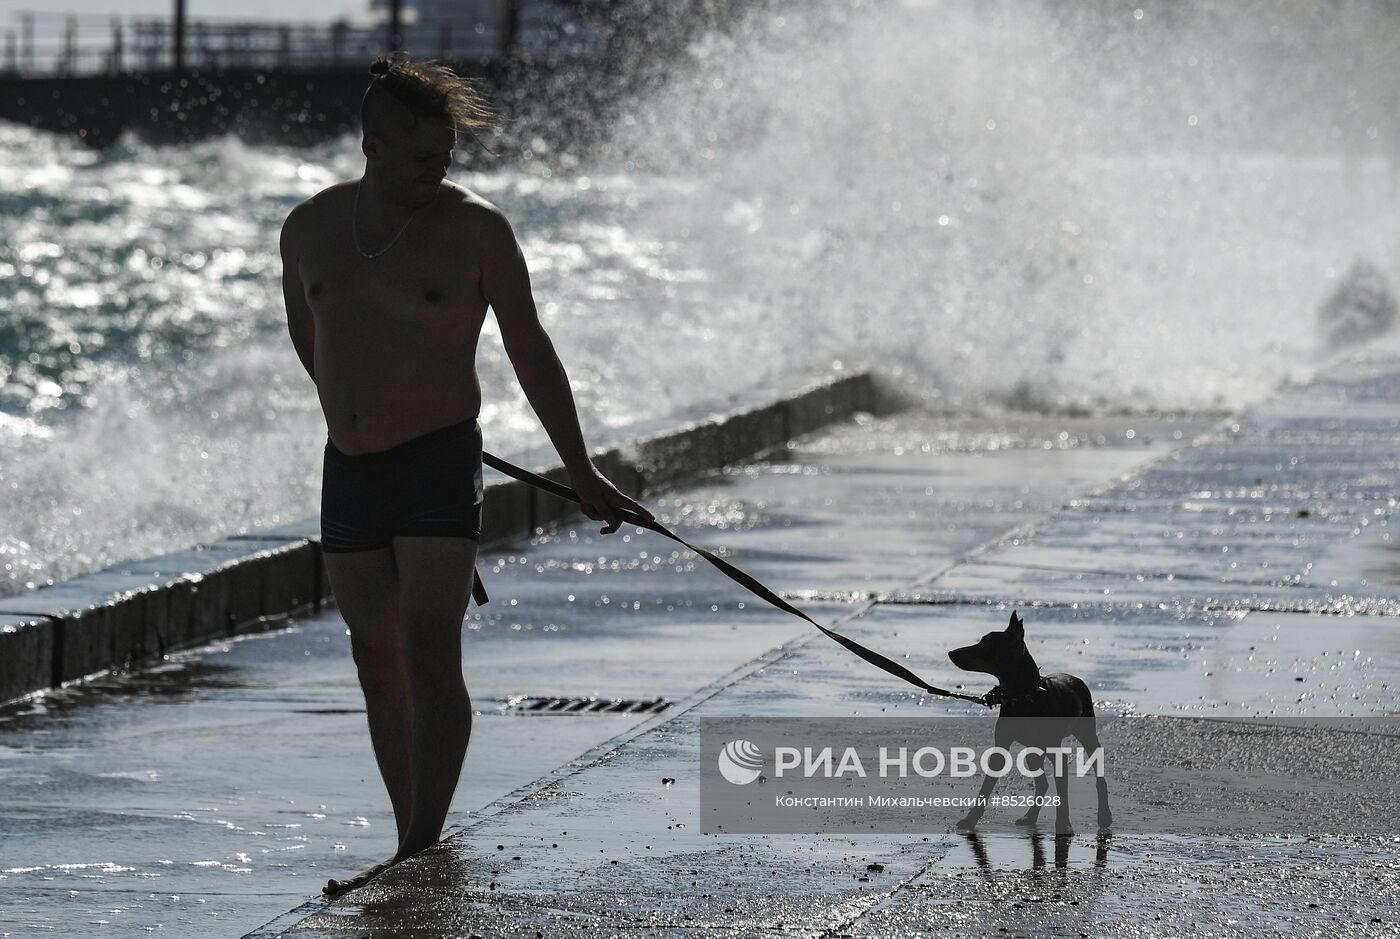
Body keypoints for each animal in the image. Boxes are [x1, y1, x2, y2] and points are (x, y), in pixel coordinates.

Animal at [946, 615, 1108, 839]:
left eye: (985, 645)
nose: (951, 653)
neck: (1022, 696)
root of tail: (1076, 678)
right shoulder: (1001, 744)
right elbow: (986, 787)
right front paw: (970, 820)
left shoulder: (1057, 750)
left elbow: (1062, 791)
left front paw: (1064, 825)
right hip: (1033, 749)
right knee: (1042, 783)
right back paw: (1030, 816)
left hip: (1086, 732)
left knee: (1099, 775)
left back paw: (1105, 816)